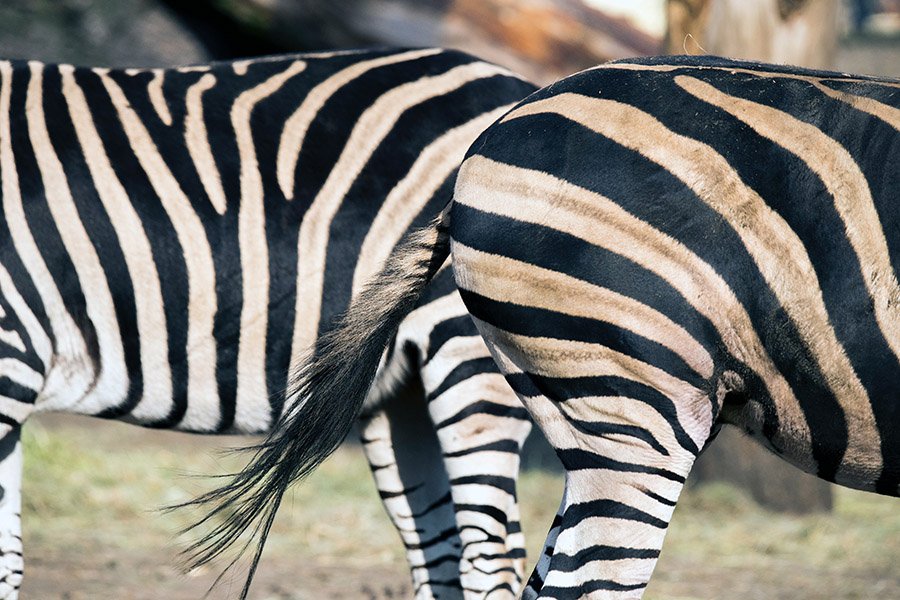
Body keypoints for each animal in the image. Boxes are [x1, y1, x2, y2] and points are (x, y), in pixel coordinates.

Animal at [0, 48, 540, 600]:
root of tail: (527, 87)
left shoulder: (10, 358)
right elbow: (9, 559)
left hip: (470, 358)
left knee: (490, 560)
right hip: (401, 391)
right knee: (444, 557)